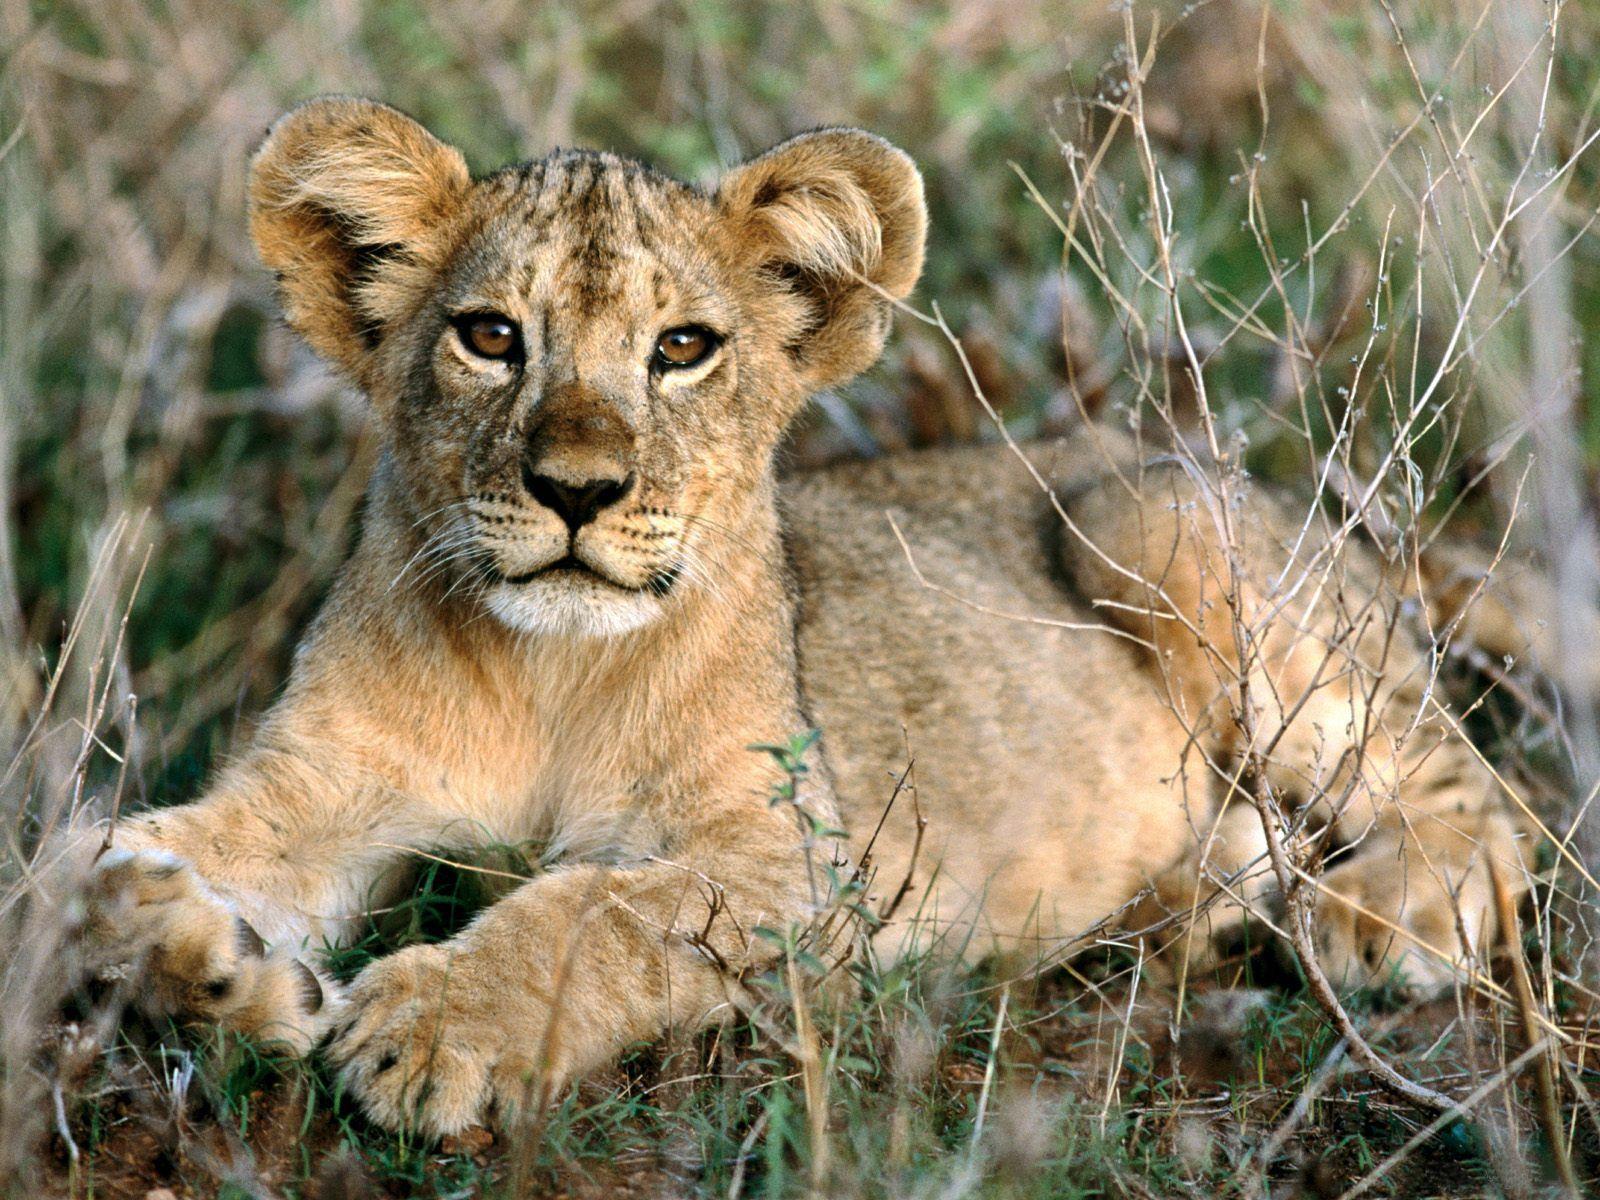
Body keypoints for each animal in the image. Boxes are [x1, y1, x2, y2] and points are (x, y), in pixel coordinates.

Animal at [56, 96, 1528, 1137]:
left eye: (682, 349)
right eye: (489, 337)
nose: (577, 489)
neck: (548, 676)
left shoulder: (804, 864)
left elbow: (596, 908)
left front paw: (431, 1027)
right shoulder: (320, 778)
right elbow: (85, 863)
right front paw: (217, 963)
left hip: (1152, 523)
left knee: (1476, 790)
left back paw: (1385, 915)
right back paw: (1193, 907)